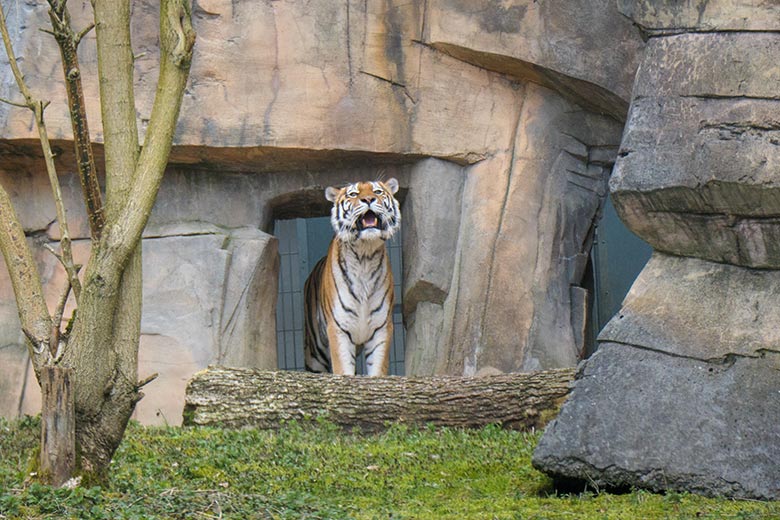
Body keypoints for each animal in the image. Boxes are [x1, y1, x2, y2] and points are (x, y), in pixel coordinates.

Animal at [304, 177, 400, 376]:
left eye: (377, 192)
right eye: (353, 194)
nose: (369, 199)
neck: (365, 255)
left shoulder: (381, 328)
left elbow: (377, 369)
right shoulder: (338, 328)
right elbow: (343, 369)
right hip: (315, 351)